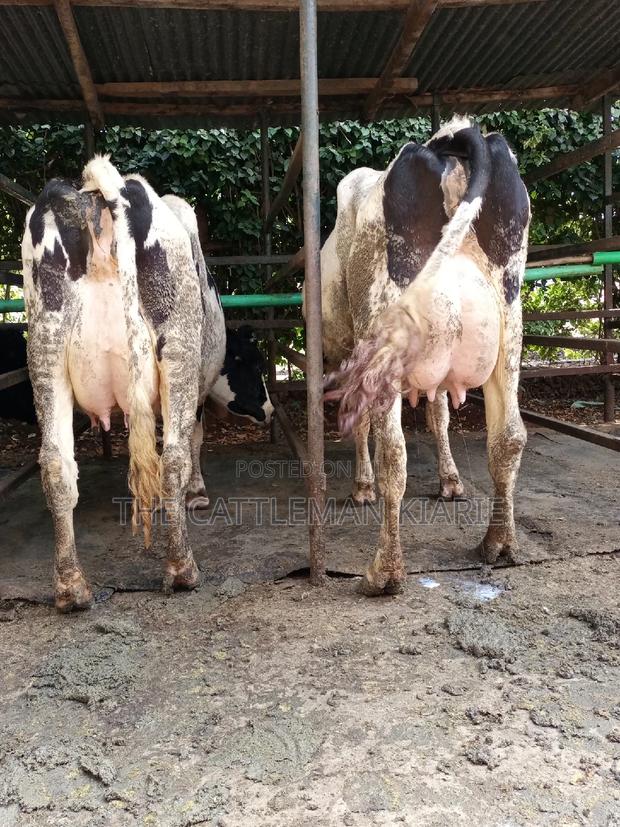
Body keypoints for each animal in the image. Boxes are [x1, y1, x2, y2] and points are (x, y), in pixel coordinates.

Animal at [21, 158, 271, 611]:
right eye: (255, 364)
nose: (270, 411)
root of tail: (97, 197)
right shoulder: (197, 386)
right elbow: (194, 439)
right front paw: (197, 493)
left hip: (44, 346)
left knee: (56, 464)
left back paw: (71, 588)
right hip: (178, 347)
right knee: (172, 458)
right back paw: (183, 569)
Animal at [320, 116, 530, 596]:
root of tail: (448, 142)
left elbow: (365, 427)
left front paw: (362, 487)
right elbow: (439, 415)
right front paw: (450, 481)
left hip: (384, 326)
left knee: (393, 453)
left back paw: (385, 571)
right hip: (509, 326)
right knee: (509, 436)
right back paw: (499, 543)